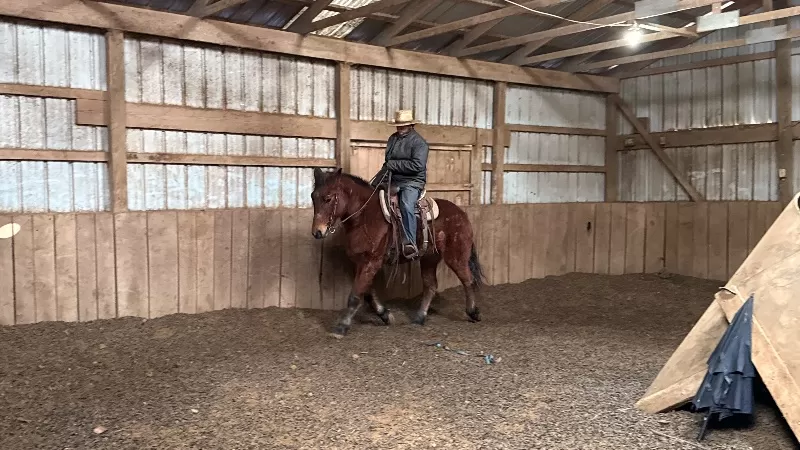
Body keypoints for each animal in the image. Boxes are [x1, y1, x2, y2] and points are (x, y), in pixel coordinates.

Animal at [310, 167, 484, 336]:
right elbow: (367, 293)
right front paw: (385, 315)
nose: (317, 232)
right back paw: (420, 317)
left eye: (328, 198)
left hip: (456, 257)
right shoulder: (361, 263)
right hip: (429, 258)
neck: (365, 217)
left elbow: (355, 295)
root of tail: (461, 214)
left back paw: (473, 312)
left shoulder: (371, 262)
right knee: (431, 286)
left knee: (468, 280)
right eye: (313, 197)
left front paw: (342, 326)